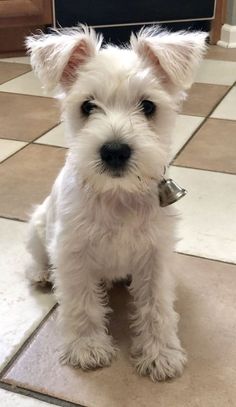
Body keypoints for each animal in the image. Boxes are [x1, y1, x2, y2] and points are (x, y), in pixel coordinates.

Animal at [25, 25, 206, 382]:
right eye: (87, 106)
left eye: (148, 106)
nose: (115, 151)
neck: (117, 194)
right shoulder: (73, 254)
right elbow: (82, 303)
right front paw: (88, 347)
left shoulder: (155, 256)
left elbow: (157, 306)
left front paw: (161, 353)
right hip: (37, 225)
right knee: (38, 257)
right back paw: (42, 274)